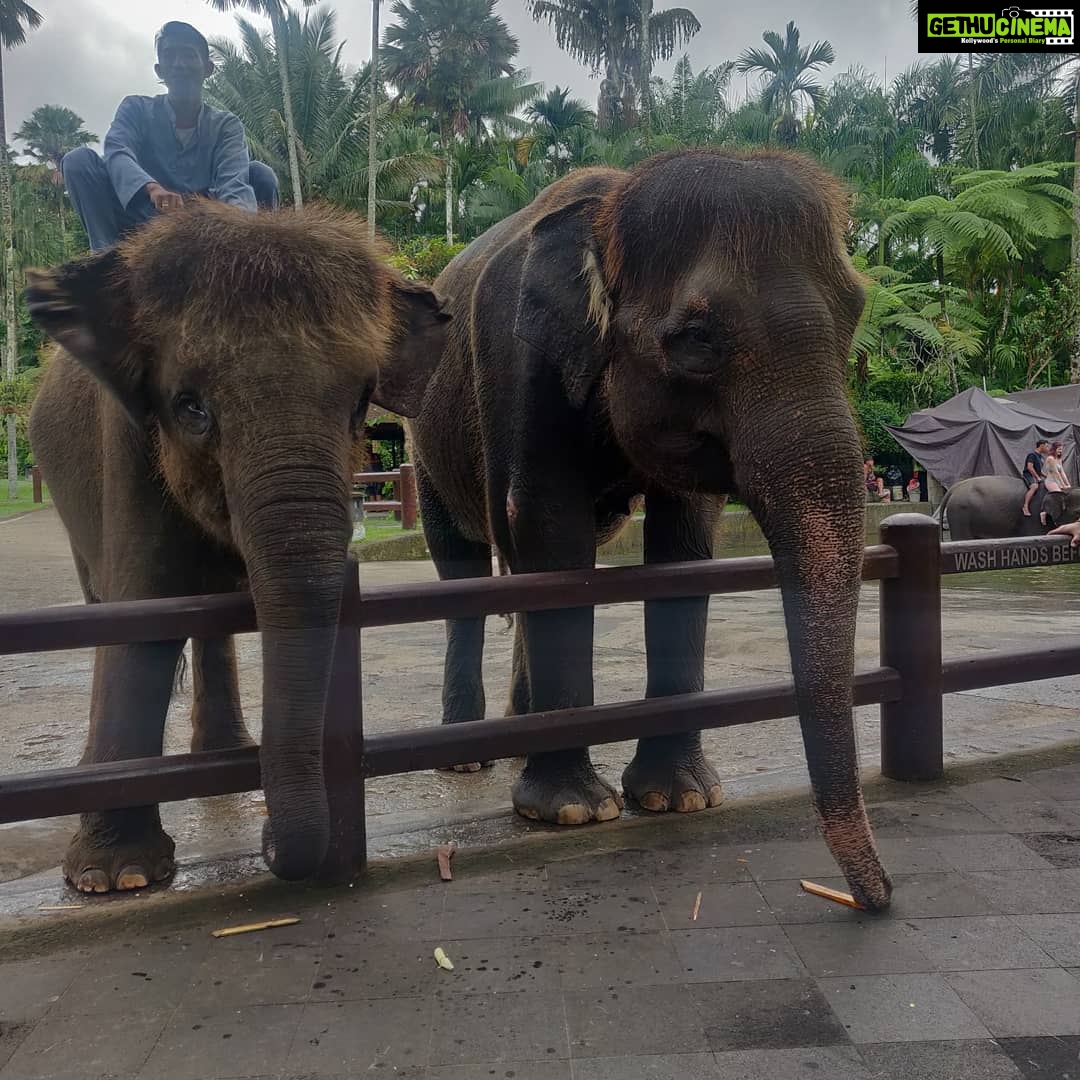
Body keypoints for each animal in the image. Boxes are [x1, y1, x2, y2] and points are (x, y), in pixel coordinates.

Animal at [25, 201, 448, 893]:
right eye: (190, 408)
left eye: (363, 401)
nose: (268, 843)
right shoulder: (128, 444)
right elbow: (145, 607)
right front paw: (117, 878)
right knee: (104, 602)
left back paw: (225, 758)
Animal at [409, 147, 892, 910]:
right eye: (697, 340)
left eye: (855, 313)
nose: (876, 900)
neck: (610, 205)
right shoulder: (517, 361)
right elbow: (547, 525)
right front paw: (571, 811)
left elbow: (683, 539)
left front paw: (681, 798)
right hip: (420, 442)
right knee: (461, 568)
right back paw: (468, 758)